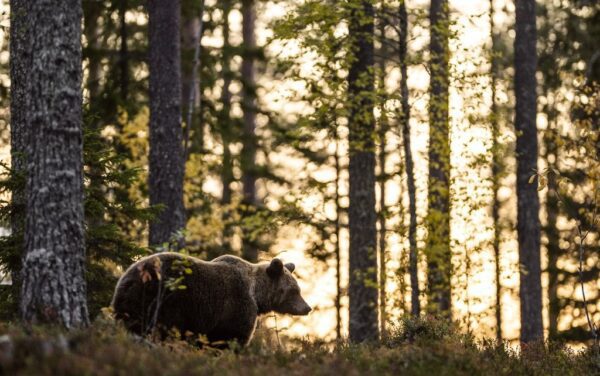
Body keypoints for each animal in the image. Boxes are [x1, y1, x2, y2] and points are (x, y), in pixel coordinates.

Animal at [109, 253, 312, 346]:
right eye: (294, 291)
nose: (307, 308)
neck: (257, 295)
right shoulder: (235, 308)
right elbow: (231, 339)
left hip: (132, 302)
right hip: (168, 302)